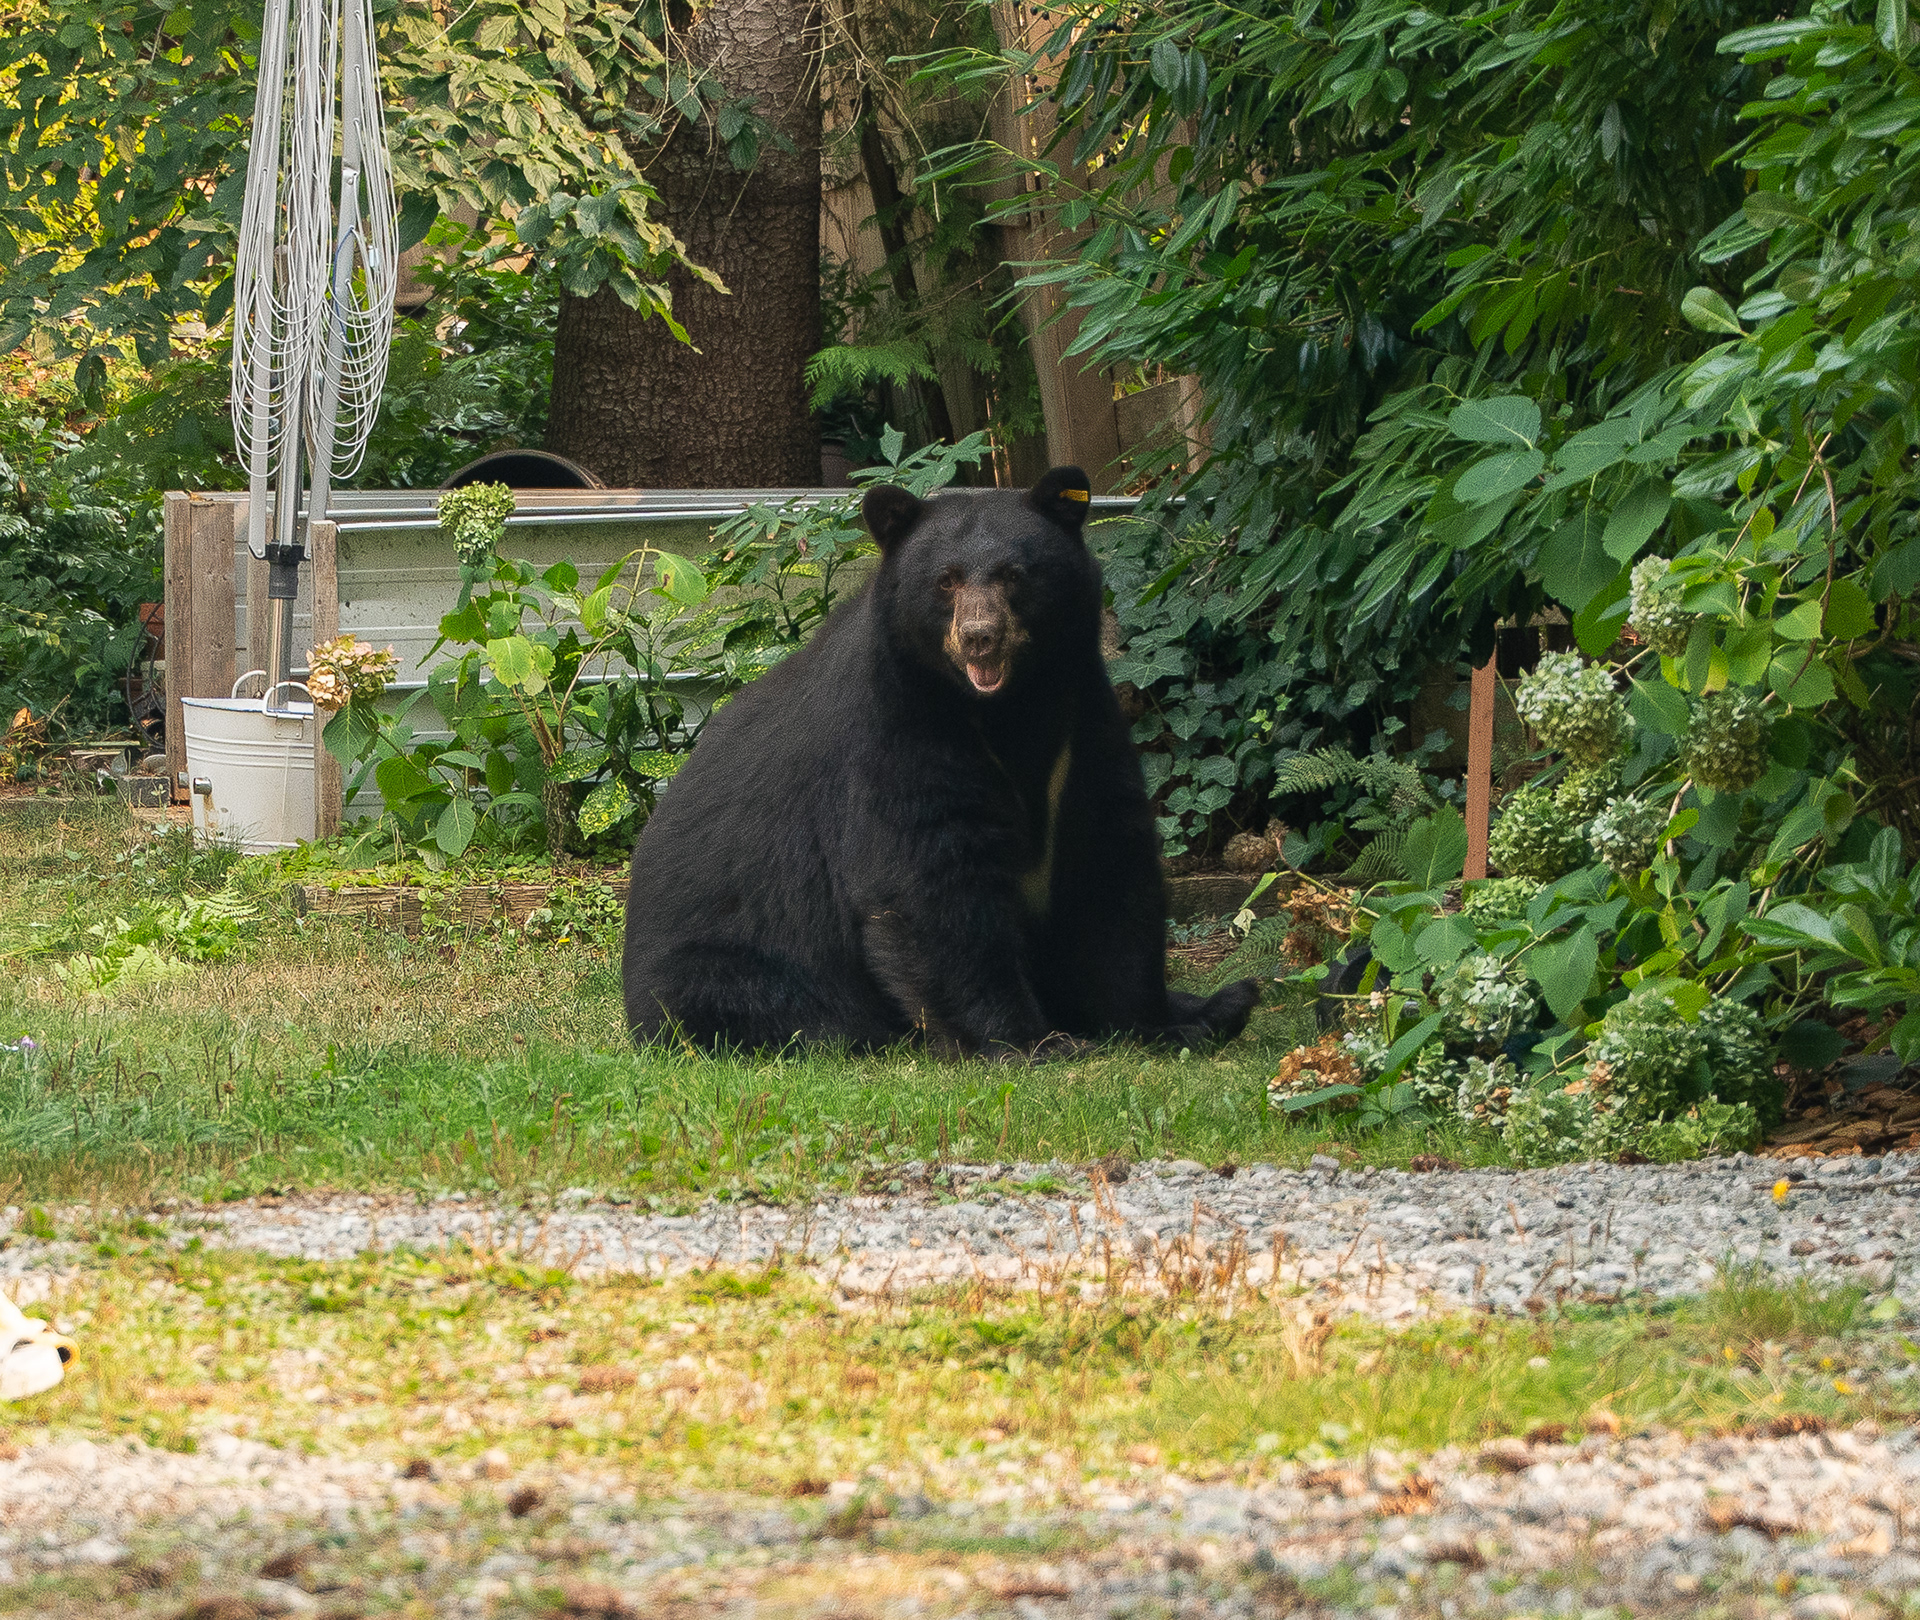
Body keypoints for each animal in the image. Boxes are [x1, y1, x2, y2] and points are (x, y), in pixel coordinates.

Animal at [620, 466, 1260, 1058]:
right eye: (946, 581)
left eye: (1013, 574)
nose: (980, 637)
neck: (1006, 707)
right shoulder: (898, 726)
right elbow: (932, 878)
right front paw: (1032, 1041)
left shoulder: (1080, 718)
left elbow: (1106, 859)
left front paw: (1157, 1022)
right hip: (737, 966)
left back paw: (1228, 1001)